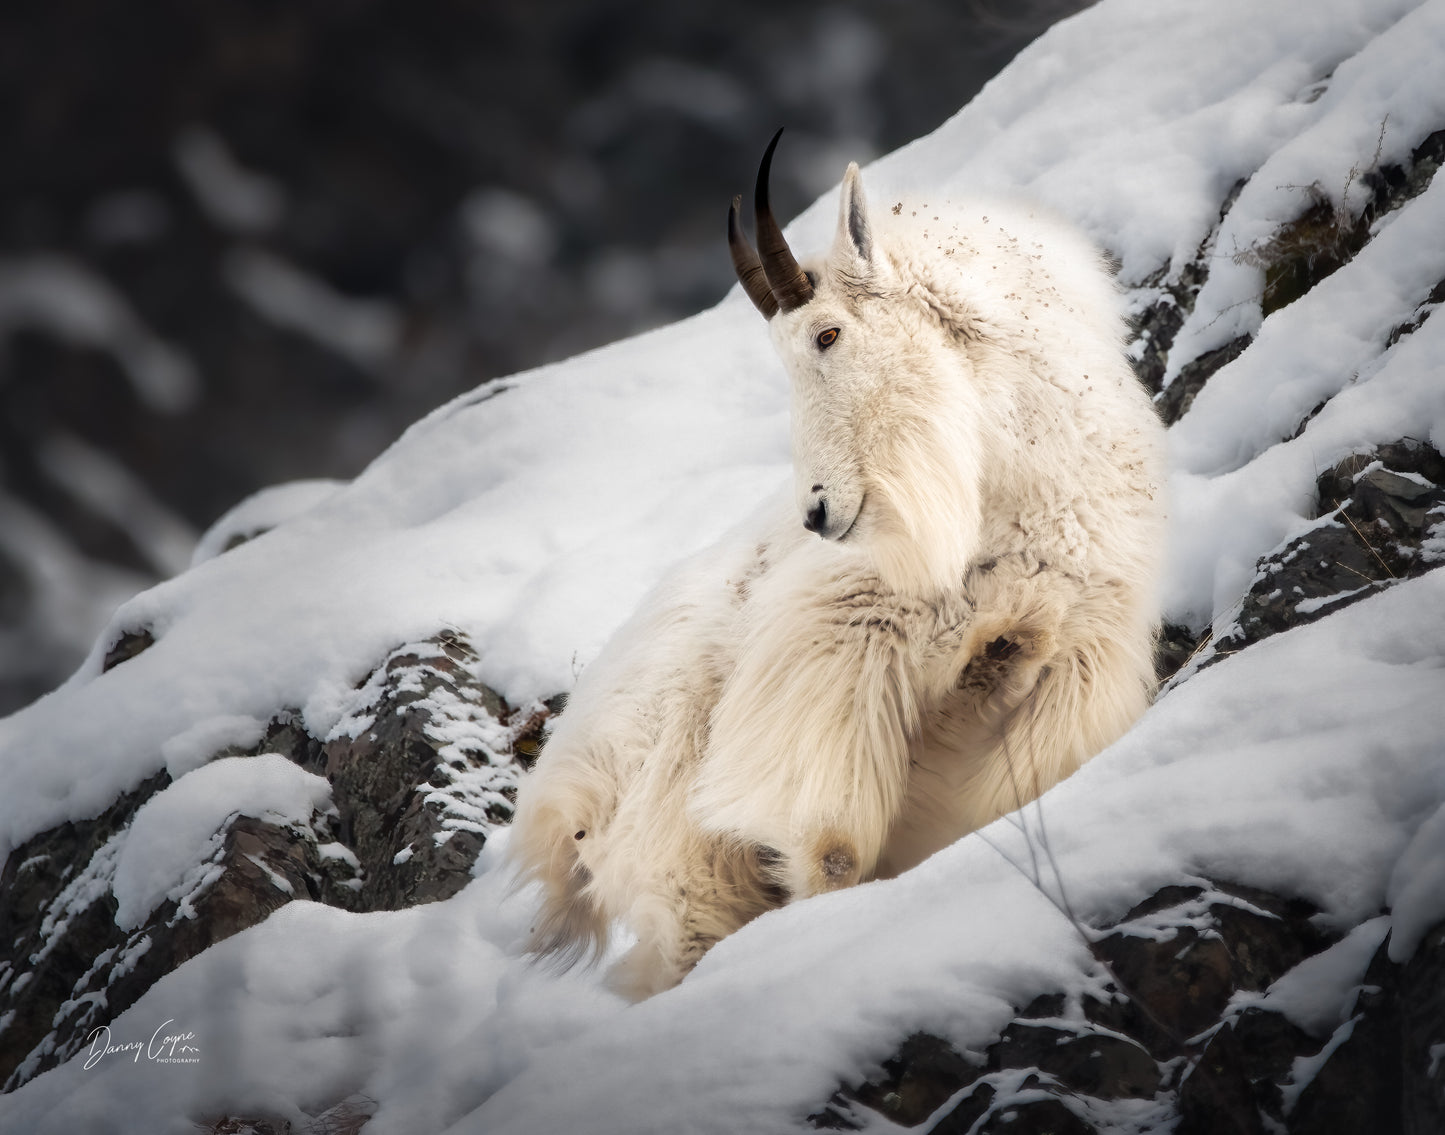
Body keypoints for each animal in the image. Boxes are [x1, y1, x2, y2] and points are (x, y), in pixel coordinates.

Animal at [508, 130, 1167, 999]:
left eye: (826, 334)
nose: (818, 513)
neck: (1008, 491)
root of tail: (562, 798)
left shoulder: (1077, 661)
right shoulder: (839, 650)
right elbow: (830, 846)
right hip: (673, 847)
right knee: (683, 939)